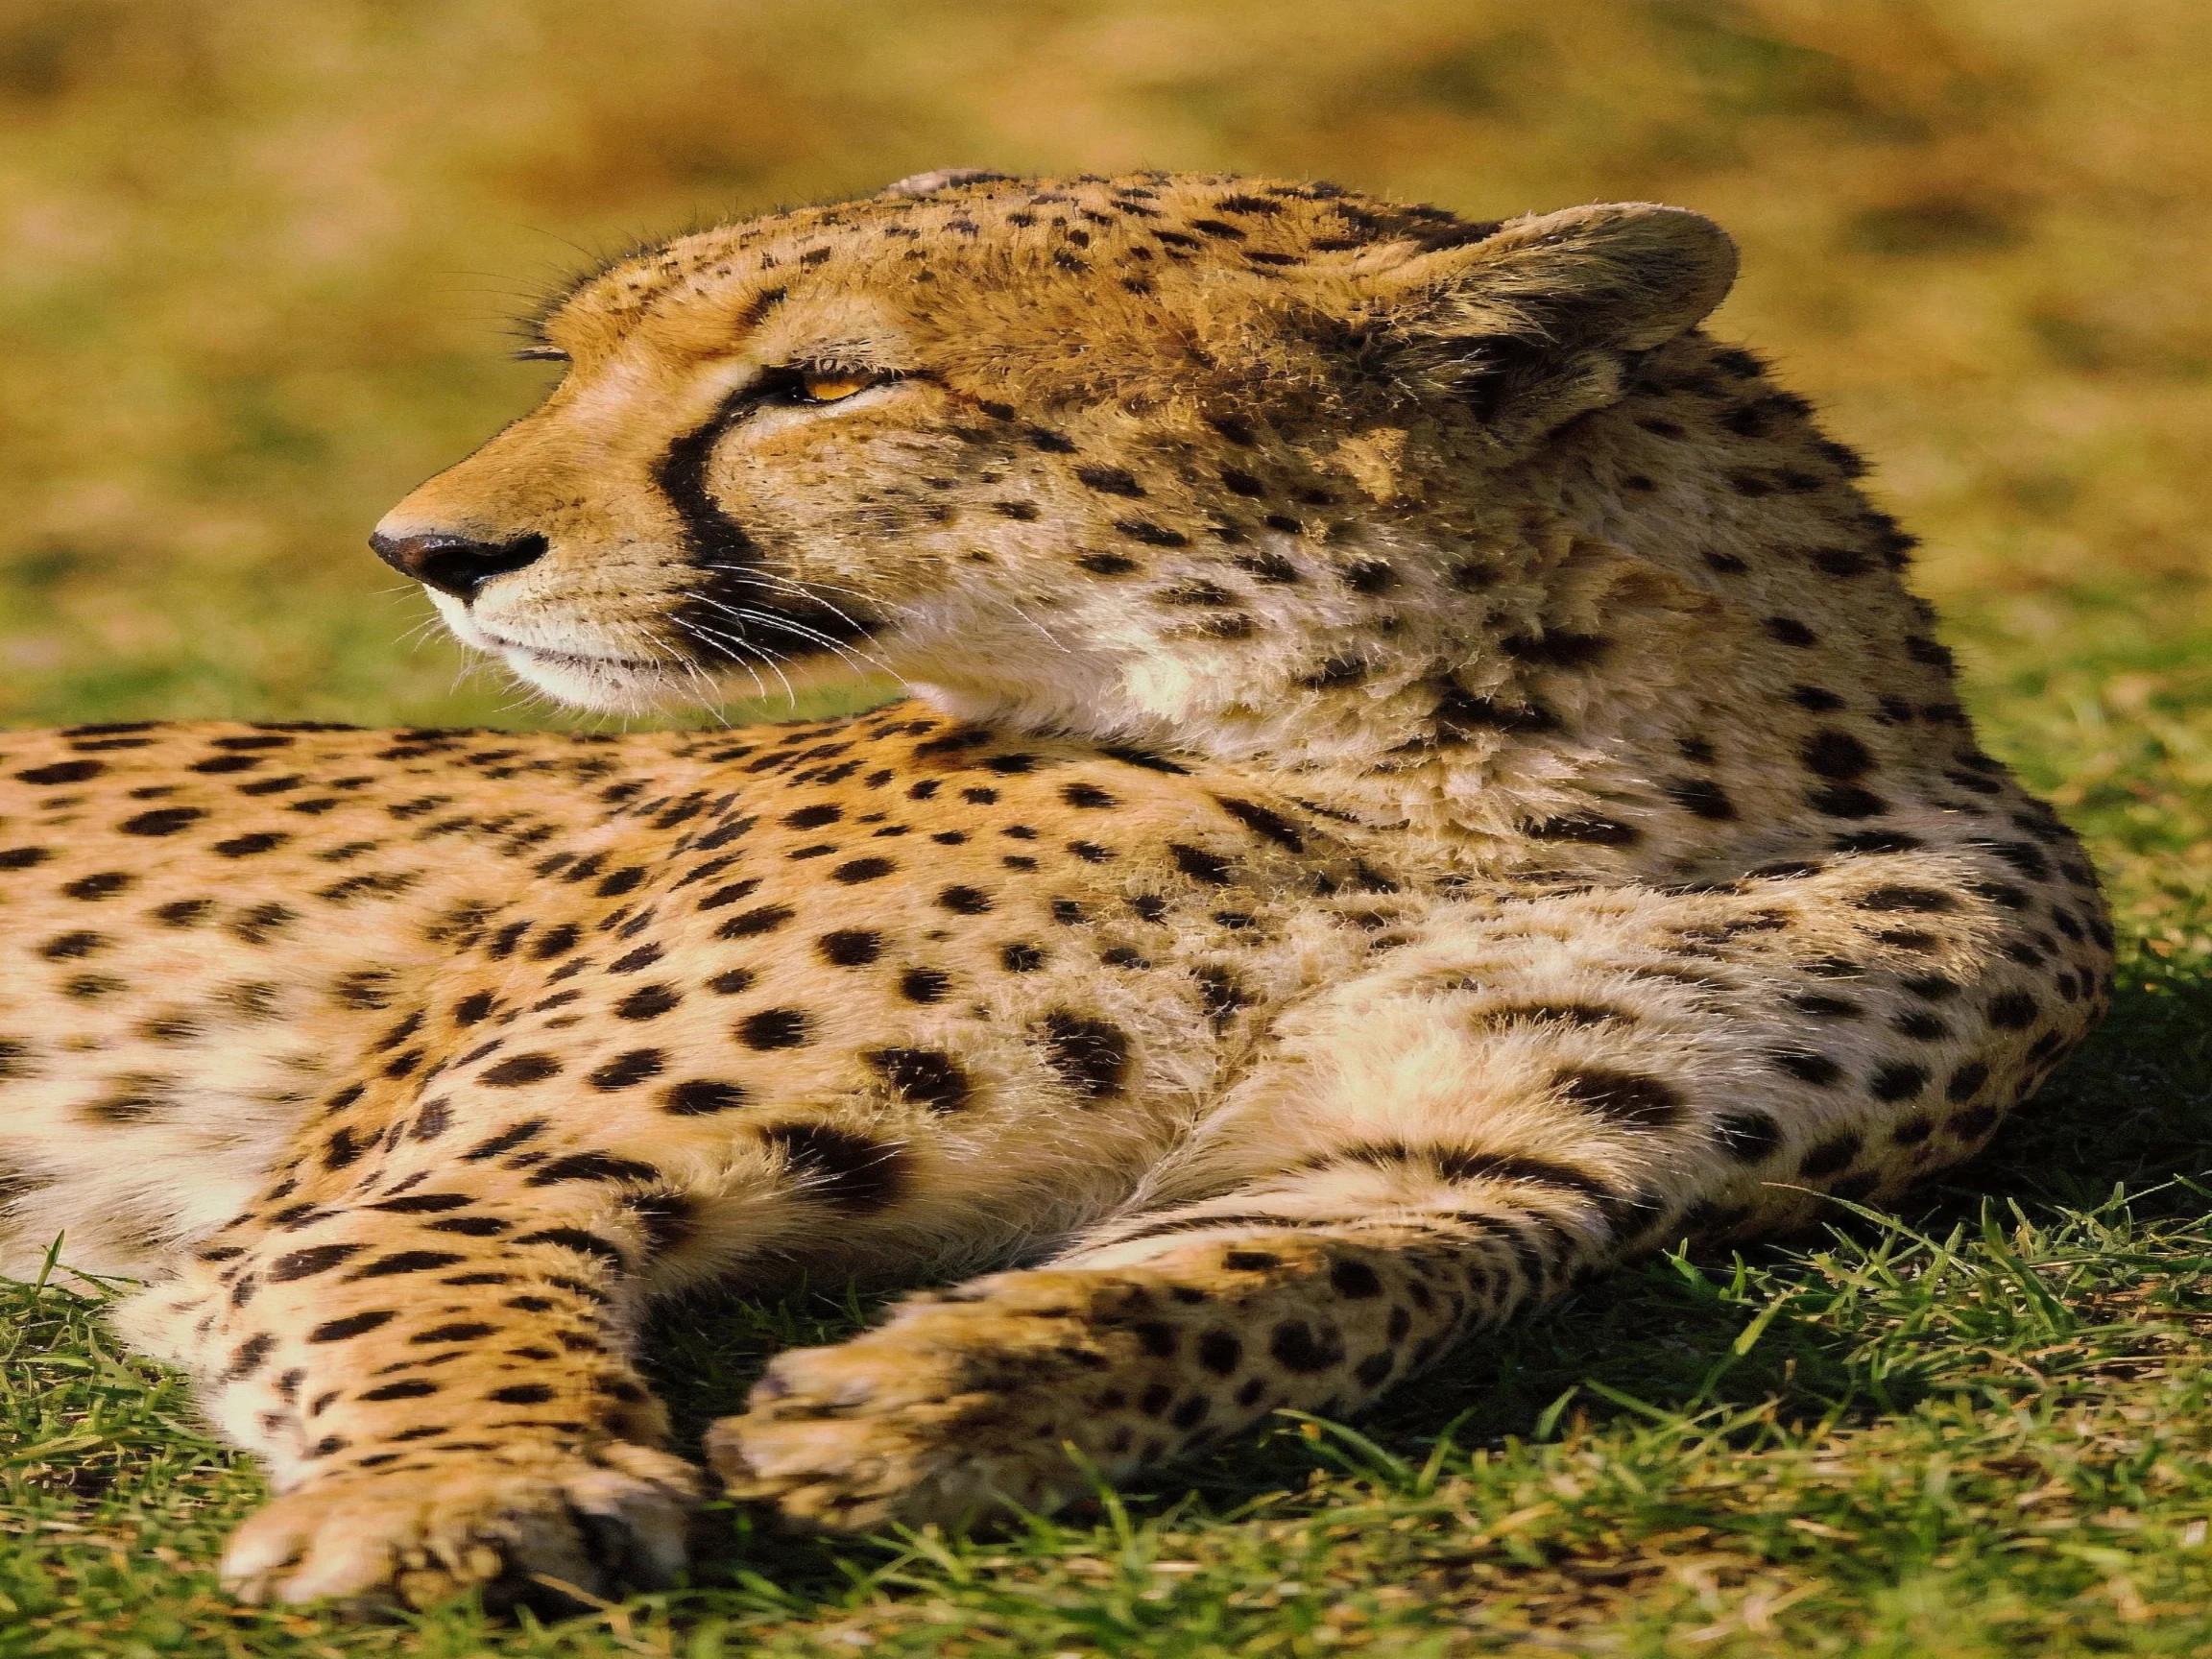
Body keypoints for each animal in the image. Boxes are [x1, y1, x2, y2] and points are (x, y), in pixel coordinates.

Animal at [0, 168, 2113, 1613]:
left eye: (821, 385)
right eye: (574, 361)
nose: (425, 548)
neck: (1468, 768)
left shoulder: (1471, 1164)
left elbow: (1317, 1280)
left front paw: (966, 1390)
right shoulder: (443, 1178)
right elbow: (446, 1303)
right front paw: (455, 1493)